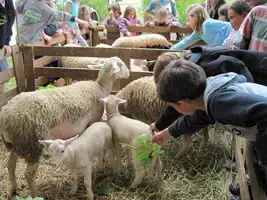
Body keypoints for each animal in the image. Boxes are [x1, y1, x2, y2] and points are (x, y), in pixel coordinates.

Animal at [0, 56, 130, 197]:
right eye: (121, 64)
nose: (129, 73)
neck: (99, 87)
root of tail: (5, 116)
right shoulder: (92, 121)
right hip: (32, 143)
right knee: (28, 174)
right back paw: (35, 195)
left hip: (16, 143)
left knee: (10, 165)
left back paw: (13, 188)